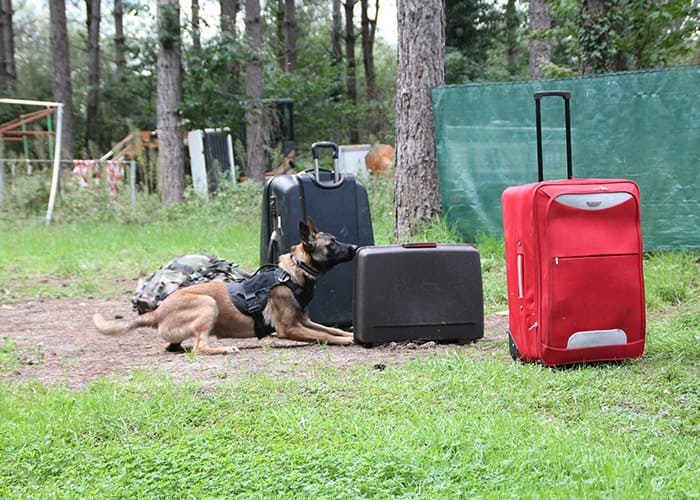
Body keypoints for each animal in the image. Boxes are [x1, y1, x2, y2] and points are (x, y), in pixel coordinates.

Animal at [93, 219, 356, 356]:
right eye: (332, 244)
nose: (354, 247)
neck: (291, 273)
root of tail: (157, 311)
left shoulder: (304, 321)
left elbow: (332, 330)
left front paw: (349, 334)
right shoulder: (289, 328)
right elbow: (324, 336)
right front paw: (347, 340)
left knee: (175, 346)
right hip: (207, 303)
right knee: (199, 347)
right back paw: (225, 348)